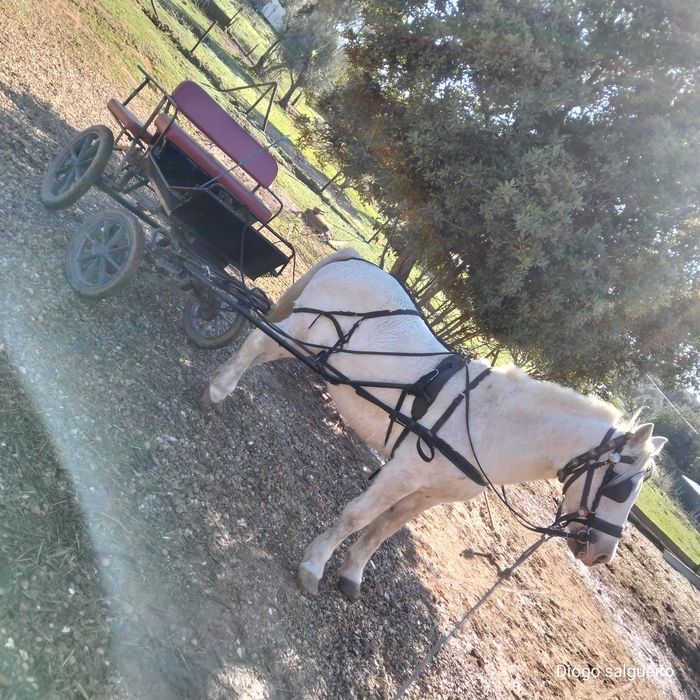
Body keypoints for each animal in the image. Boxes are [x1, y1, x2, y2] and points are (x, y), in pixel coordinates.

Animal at [199, 248, 667, 601]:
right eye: (621, 487)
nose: (603, 555)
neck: (490, 423)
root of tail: (356, 261)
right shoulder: (403, 472)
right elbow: (357, 516)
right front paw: (314, 566)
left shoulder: (430, 493)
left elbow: (385, 528)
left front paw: (352, 574)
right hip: (302, 332)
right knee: (258, 341)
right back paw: (219, 389)